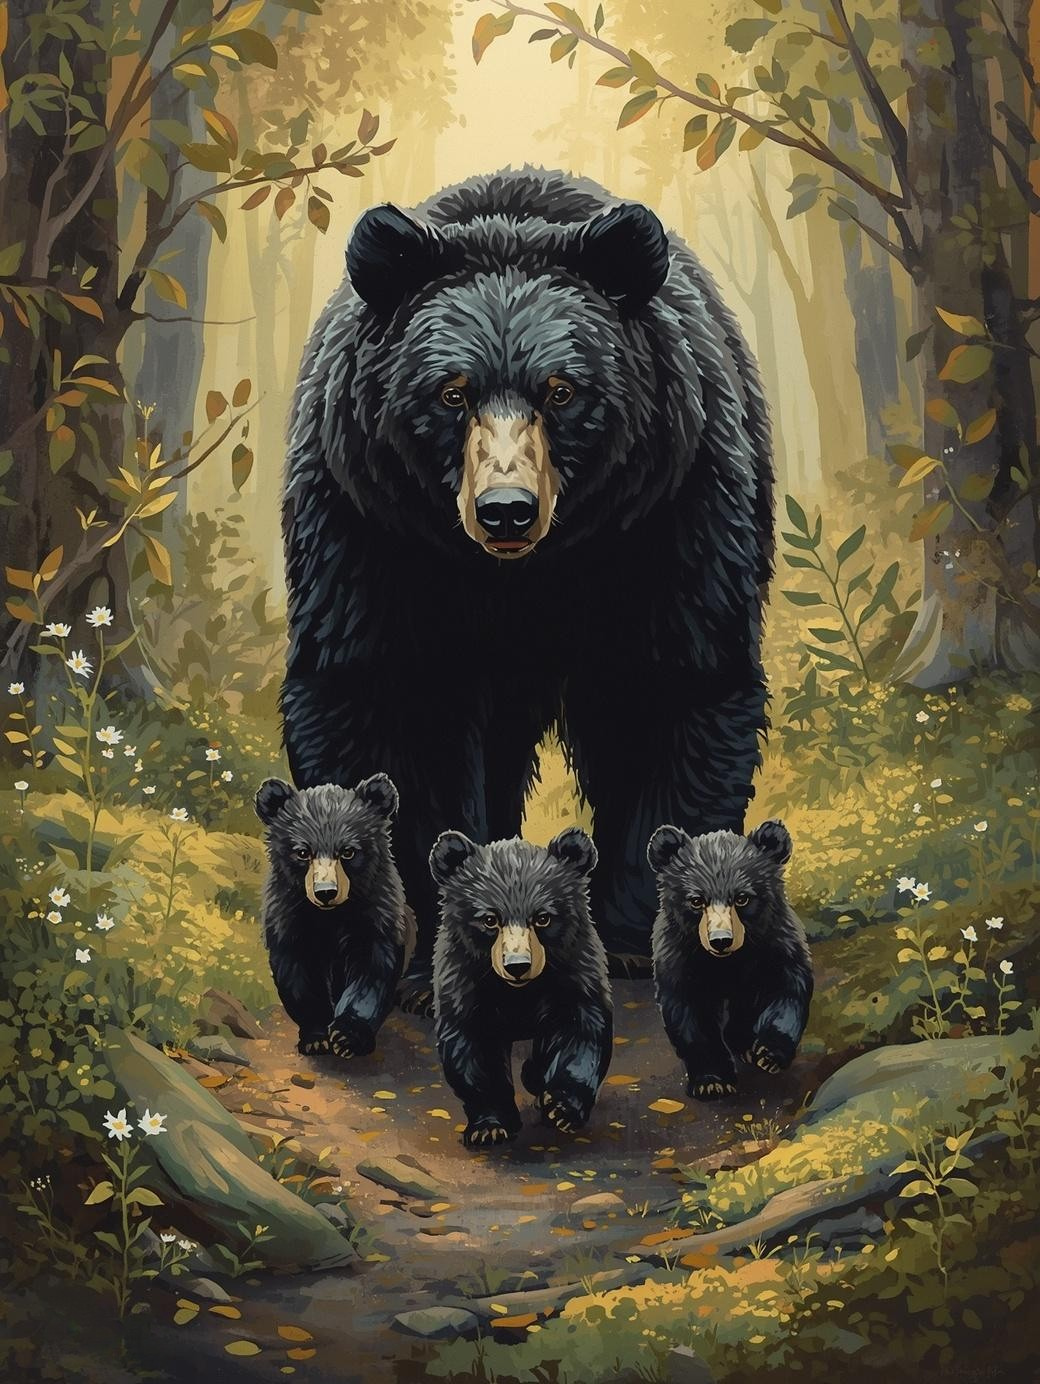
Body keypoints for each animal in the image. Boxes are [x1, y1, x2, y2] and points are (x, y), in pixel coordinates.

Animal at [255, 774, 413, 1058]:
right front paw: (316, 1037)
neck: (331, 916)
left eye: (348, 851)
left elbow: (372, 972)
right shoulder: (288, 916)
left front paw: (348, 1036)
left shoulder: (376, 913)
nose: (326, 892)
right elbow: (298, 974)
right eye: (303, 852)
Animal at [280, 166, 773, 1012]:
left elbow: (669, 685)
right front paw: (436, 942)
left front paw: (634, 934)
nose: (505, 508)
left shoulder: (670, 514)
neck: (521, 575)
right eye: (451, 392)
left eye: (562, 390)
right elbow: (383, 702)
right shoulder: (370, 528)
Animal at [428, 826, 612, 1148]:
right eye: (490, 920)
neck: (519, 992)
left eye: (543, 917)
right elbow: (473, 1047)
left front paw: (562, 1108)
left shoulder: (574, 970)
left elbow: (583, 1030)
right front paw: (489, 1127)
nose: (518, 965)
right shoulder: (465, 979)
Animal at [647, 819, 812, 1100]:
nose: (721, 940)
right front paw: (712, 1081)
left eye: (742, 898)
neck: (727, 962)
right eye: (696, 900)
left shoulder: (774, 944)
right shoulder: (679, 954)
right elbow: (689, 1011)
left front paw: (769, 1054)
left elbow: (788, 987)